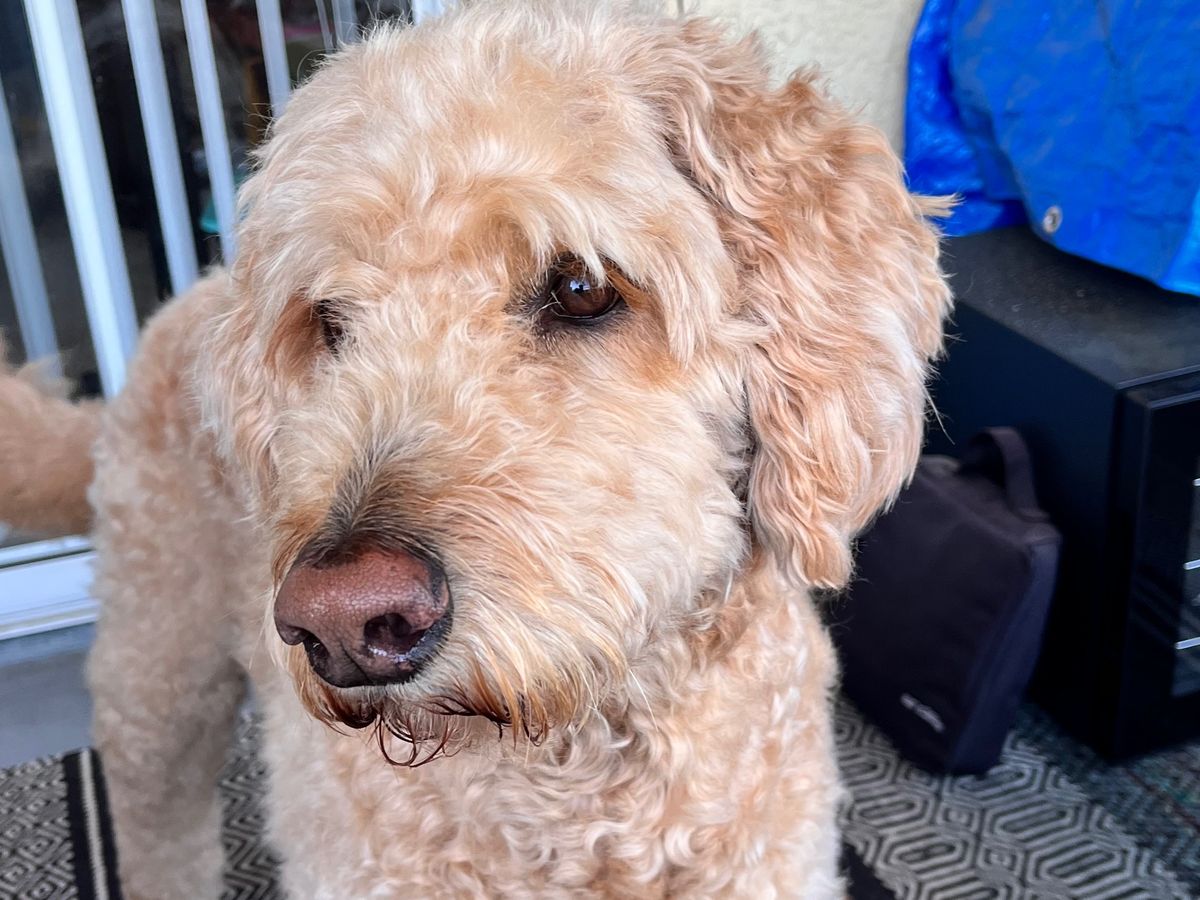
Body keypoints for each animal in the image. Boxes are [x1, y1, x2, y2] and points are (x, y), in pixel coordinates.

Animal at [0, 2, 950, 896]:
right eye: (328, 322)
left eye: (581, 287)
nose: (345, 618)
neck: (577, 786)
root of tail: (184, 300)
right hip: (159, 677)